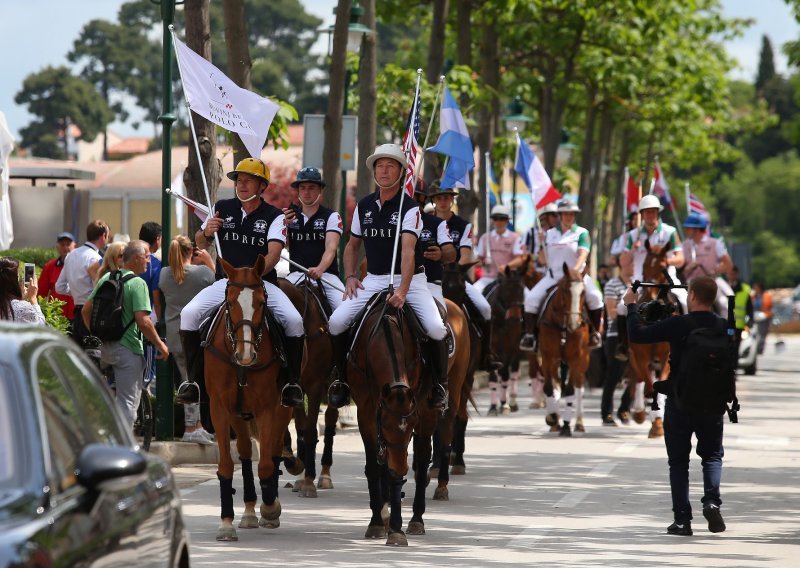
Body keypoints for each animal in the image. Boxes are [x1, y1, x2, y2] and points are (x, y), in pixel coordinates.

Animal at [206, 258, 294, 540]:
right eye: (230, 301)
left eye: (262, 302)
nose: (246, 355)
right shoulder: (219, 408)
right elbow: (226, 464)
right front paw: (226, 523)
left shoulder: (268, 408)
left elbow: (266, 464)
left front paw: (270, 508)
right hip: (239, 414)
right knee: (245, 451)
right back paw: (247, 511)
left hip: (282, 409)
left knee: (273, 450)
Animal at [280, 278, 340, 496]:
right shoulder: (296, 388)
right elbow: (301, 429)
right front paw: (298, 471)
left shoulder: (314, 387)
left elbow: (311, 430)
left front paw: (308, 481)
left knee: (330, 420)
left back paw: (324, 475)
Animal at [536, 264, 592, 438]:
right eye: (566, 290)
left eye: (583, 292)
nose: (575, 324)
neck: (563, 326)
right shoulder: (547, 356)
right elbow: (549, 387)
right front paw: (552, 418)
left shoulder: (576, 357)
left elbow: (570, 390)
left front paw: (566, 426)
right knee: (556, 384)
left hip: (583, 359)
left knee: (578, 387)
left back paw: (578, 423)